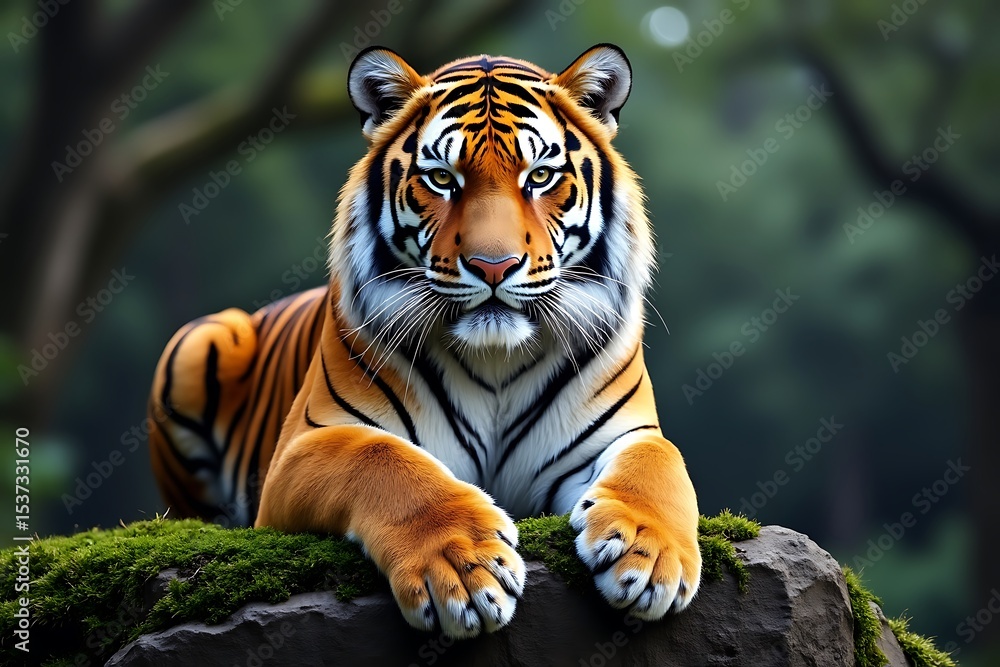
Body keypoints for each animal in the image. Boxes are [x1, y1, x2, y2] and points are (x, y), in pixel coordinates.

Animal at [147, 44, 701, 638]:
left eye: (540, 176)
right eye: (441, 178)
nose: (493, 265)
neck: (496, 360)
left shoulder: (618, 434)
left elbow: (658, 459)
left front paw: (648, 556)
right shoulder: (302, 447)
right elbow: (378, 457)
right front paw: (463, 566)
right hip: (197, 341)